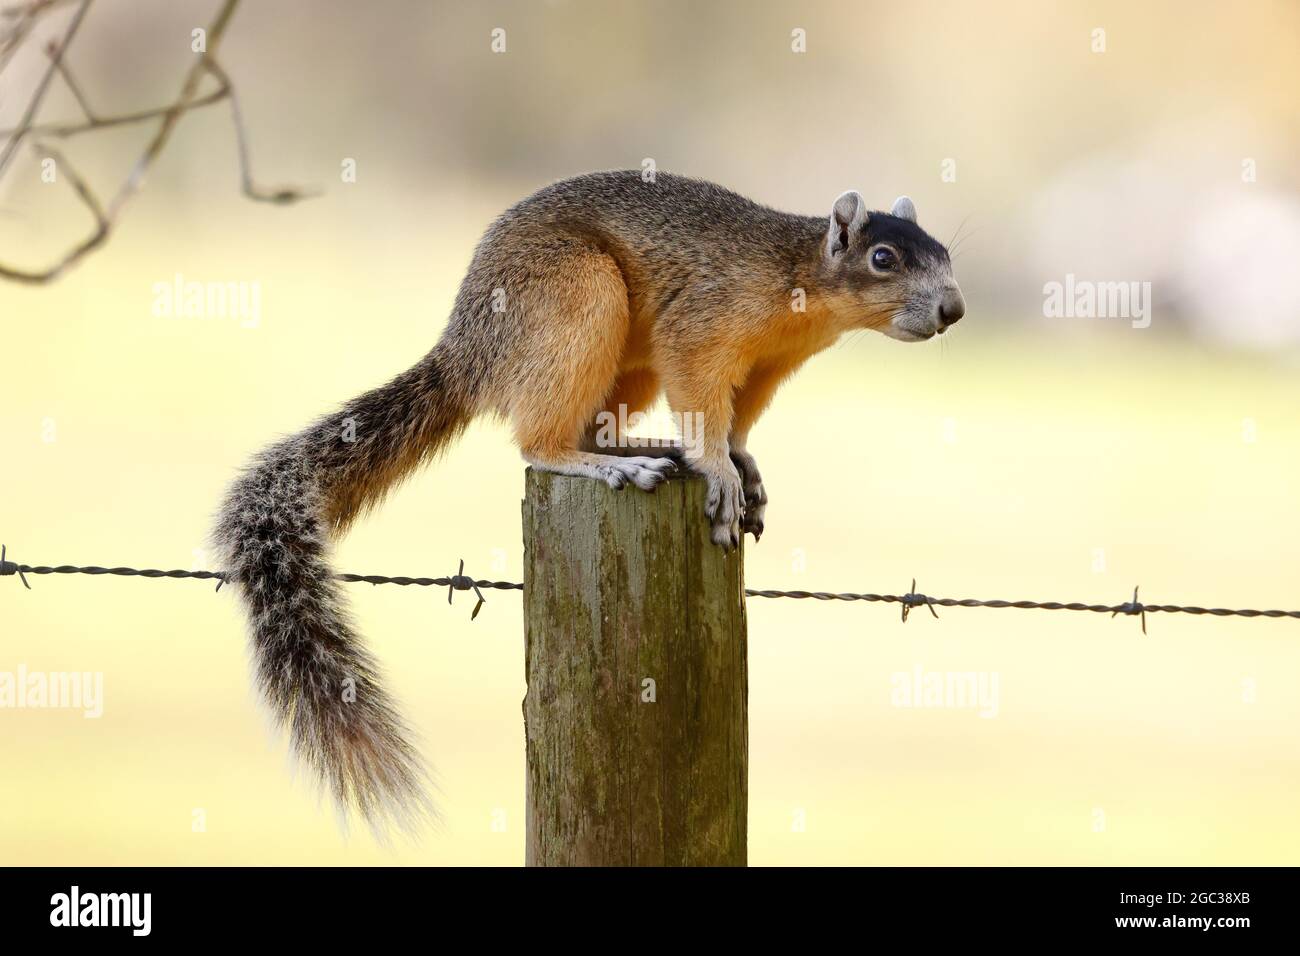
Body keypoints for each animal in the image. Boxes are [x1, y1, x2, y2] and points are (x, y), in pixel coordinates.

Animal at [213, 170, 967, 832]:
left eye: (946, 253)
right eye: (882, 258)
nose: (954, 309)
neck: (799, 277)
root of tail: (467, 352)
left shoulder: (768, 366)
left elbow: (736, 423)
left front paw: (742, 465)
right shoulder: (703, 326)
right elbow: (703, 405)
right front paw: (718, 474)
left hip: (621, 361)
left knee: (588, 424)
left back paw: (639, 447)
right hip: (575, 302)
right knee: (541, 440)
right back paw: (611, 466)